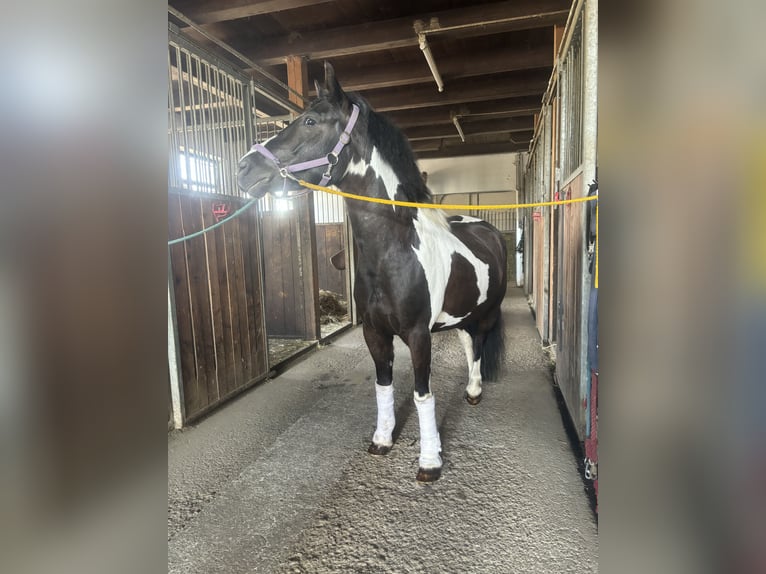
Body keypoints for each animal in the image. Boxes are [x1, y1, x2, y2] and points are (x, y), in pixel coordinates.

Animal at [237, 63, 508, 484]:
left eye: (310, 121)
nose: (244, 168)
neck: (393, 252)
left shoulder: (418, 335)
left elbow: (422, 393)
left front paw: (429, 462)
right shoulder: (374, 332)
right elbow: (384, 386)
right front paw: (382, 440)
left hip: (488, 311)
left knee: (478, 344)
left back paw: (476, 392)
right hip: (464, 312)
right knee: (467, 343)